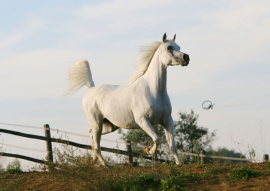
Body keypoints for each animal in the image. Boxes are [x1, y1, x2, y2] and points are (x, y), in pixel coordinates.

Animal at [66, 33, 190, 166]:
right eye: (169, 47)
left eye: (178, 46)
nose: (186, 57)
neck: (154, 90)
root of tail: (91, 88)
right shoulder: (142, 120)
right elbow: (157, 139)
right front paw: (148, 150)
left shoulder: (167, 120)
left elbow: (173, 146)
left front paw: (179, 163)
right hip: (97, 124)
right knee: (97, 144)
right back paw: (105, 165)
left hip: (109, 126)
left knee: (91, 137)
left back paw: (94, 161)